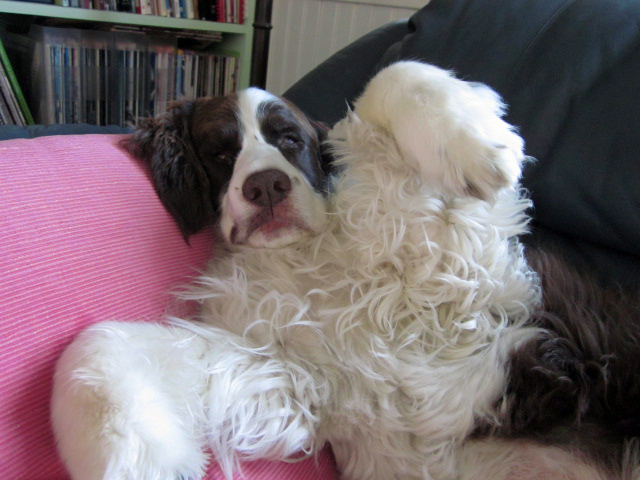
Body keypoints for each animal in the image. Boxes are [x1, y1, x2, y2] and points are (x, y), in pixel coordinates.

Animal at [51, 62, 640, 478]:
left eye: (290, 139)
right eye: (220, 152)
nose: (267, 185)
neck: (304, 261)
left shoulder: (476, 270)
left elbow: (391, 74)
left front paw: (477, 145)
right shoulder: (295, 375)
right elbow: (93, 345)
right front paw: (138, 457)